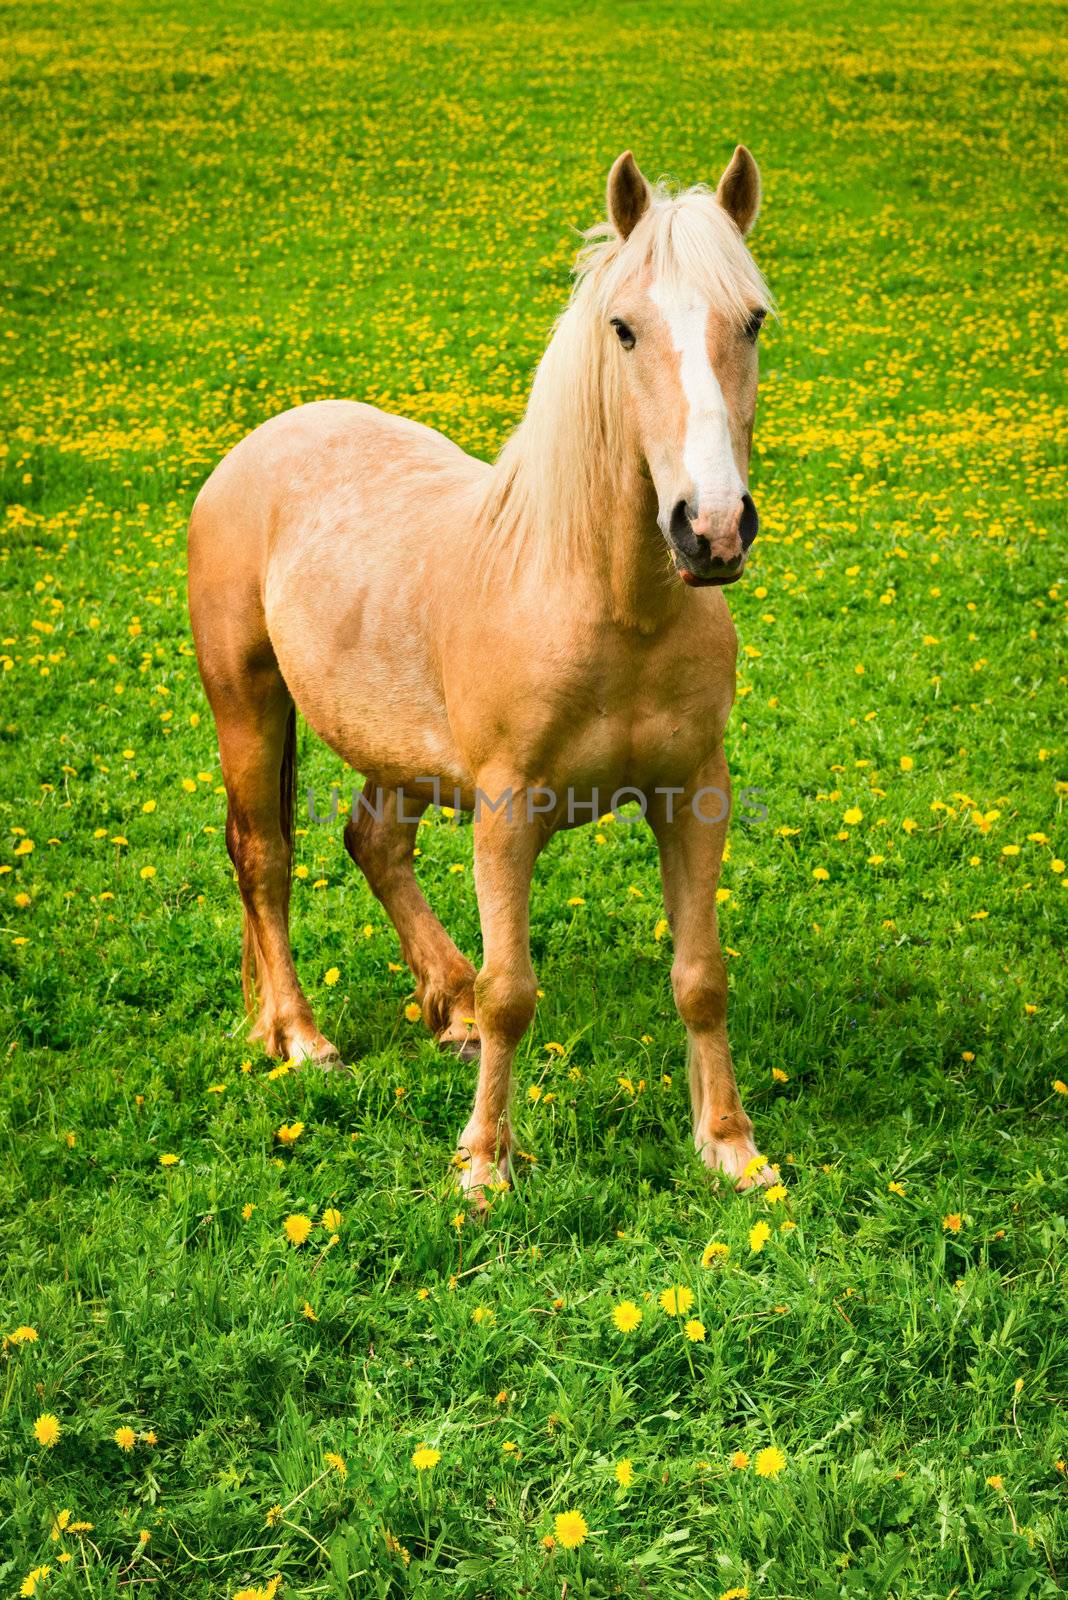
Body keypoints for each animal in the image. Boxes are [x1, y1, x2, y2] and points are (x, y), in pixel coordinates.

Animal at [189, 150, 777, 1196]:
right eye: (624, 327)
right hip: (247, 705)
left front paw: (732, 1149)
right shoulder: (508, 812)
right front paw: (485, 1168)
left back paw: (445, 1004)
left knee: (373, 843)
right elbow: (516, 993)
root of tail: (259, 444)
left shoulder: (693, 793)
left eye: (750, 320)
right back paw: (300, 1037)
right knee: (265, 859)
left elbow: (702, 978)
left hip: (398, 753)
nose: (710, 530)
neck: (605, 604)